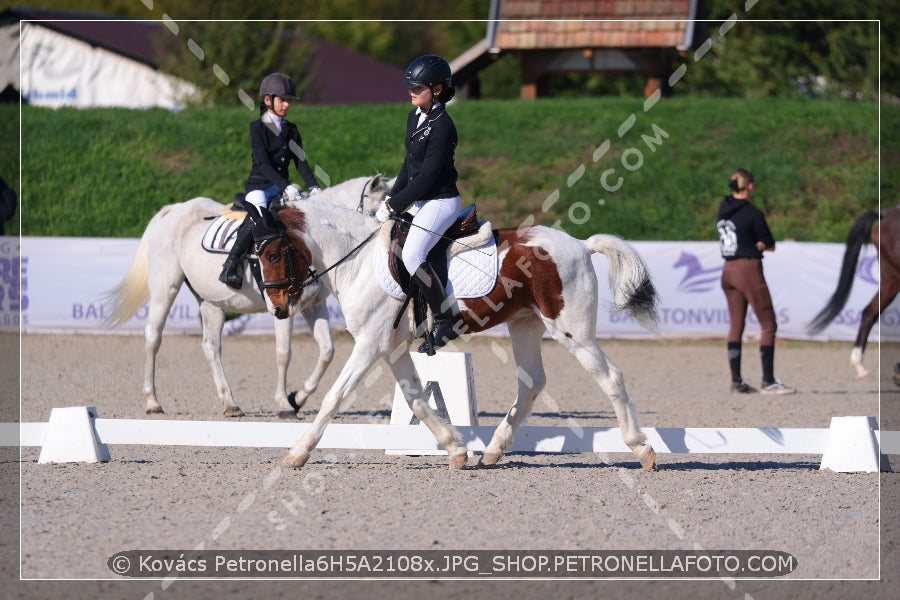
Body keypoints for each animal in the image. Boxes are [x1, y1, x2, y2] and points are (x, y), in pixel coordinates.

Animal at [103, 175, 390, 418]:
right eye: (379, 214)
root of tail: (174, 209)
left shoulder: (314, 305)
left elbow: (327, 352)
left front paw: (298, 397)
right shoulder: (283, 306)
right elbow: (284, 353)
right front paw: (284, 404)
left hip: (211, 302)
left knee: (211, 346)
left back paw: (230, 402)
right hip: (166, 288)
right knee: (153, 338)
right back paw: (152, 401)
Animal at [253, 199, 660, 472]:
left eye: (272, 254)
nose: (277, 308)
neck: (359, 262)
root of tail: (580, 244)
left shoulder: (369, 344)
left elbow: (334, 397)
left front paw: (298, 453)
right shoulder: (391, 347)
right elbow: (418, 400)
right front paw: (455, 449)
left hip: (572, 331)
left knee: (610, 378)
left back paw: (642, 449)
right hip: (525, 324)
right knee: (531, 383)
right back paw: (493, 451)